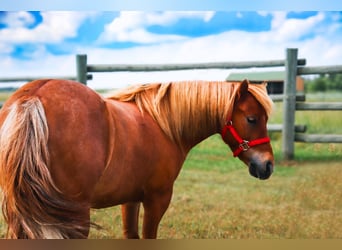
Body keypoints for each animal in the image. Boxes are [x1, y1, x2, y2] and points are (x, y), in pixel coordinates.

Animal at [0, 79, 274, 239]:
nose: (268, 165)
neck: (164, 124)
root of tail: (33, 97)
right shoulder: (157, 199)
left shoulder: (129, 199)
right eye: (252, 119)